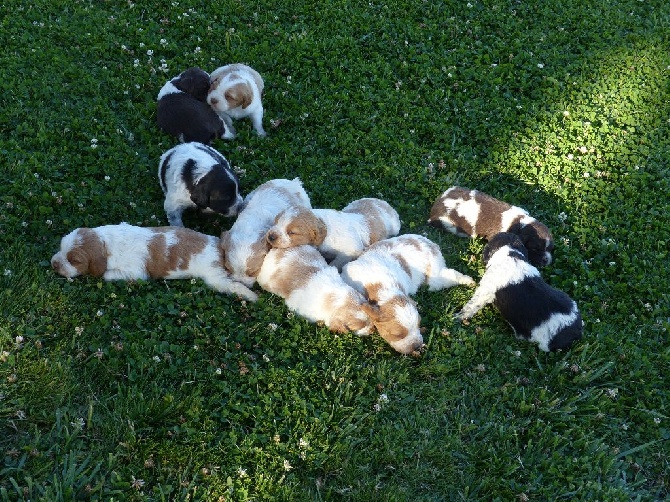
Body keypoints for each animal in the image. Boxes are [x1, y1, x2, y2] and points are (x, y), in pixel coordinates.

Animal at [49, 225, 258, 302]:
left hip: (215, 278)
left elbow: (107, 274)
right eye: (60, 247)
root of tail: (218, 244)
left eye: (74, 260)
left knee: (232, 286)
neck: (106, 242)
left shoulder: (136, 272)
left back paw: (252, 296)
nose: (54, 264)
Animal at [266, 197, 404, 270]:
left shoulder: (349, 251)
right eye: (276, 222)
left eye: (291, 232)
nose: (270, 237)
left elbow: (337, 262)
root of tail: (386, 205)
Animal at [342, 234, 478, 354]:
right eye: (398, 335)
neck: (383, 287)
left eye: (419, 325)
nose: (417, 346)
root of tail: (431, 244)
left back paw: (469, 281)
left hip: (434, 280)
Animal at [454, 232, 584, 352]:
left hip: (542, 341)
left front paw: (457, 317)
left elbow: (471, 306)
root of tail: (577, 329)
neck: (510, 254)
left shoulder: (485, 290)